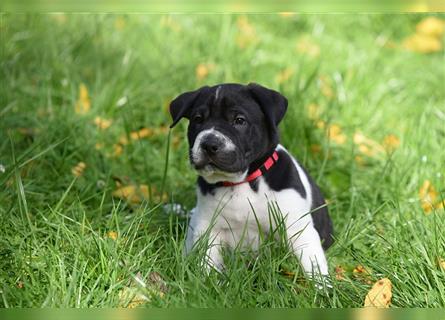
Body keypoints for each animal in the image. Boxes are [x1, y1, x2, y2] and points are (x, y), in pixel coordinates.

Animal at [170, 82, 332, 280]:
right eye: (198, 119)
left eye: (239, 120)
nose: (208, 144)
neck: (240, 182)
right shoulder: (208, 228)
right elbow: (207, 262)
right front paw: (206, 283)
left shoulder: (298, 229)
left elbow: (314, 267)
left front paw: (322, 288)